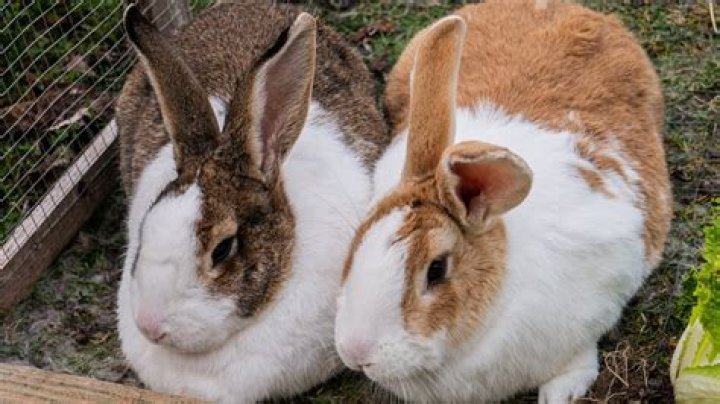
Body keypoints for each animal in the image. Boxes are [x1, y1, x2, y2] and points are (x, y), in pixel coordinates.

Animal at [334, 1, 672, 403]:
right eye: (357, 241)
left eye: (436, 270)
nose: (356, 353)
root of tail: (578, 10)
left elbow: (575, 363)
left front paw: (560, 393)